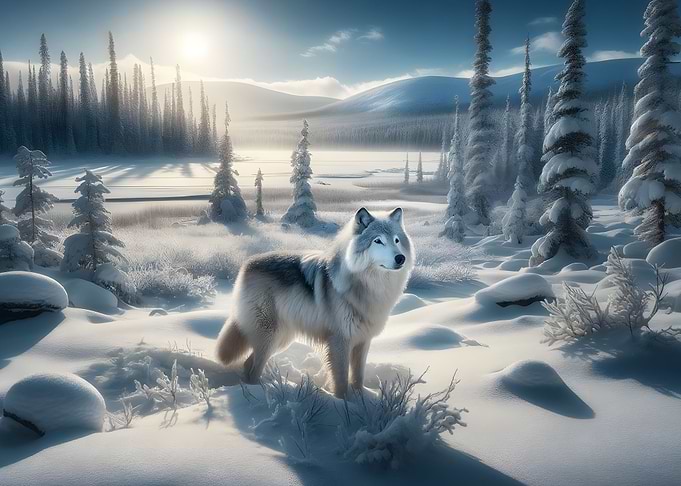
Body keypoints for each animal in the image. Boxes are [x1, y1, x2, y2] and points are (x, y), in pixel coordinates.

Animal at [215, 207, 414, 397]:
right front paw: (343, 403)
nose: (400, 258)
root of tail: (247, 265)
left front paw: (361, 400)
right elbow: (341, 381)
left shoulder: (363, 341)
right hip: (269, 337)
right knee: (253, 368)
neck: (368, 287)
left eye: (396, 240)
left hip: (280, 339)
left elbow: (358, 377)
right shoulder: (339, 341)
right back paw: (259, 392)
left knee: (248, 364)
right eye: (378, 241)